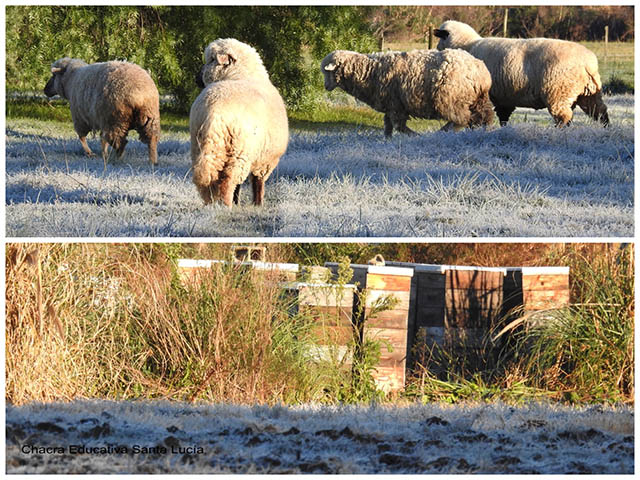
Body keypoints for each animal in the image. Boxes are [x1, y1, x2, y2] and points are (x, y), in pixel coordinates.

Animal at [189, 38, 288, 208]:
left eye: (210, 60)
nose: (196, 78)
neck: (240, 74)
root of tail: (215, 112)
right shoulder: (265, 160)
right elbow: (258, 183)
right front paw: (258, 204)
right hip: (239, 152)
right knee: (228, 181)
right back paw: (226, 205)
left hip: (202, 147)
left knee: (208, 180)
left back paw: (211, 204)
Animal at [320, 48, 496, 137]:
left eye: (327, 72)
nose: (326, 87)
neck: (368, 71)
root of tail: (480, 71)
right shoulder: (391, 105)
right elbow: (388, 125)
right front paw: (387, 139)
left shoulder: (396, 105)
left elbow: (399, 126)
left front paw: (414, 136)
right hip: (478, 99)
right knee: (484, 116)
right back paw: (483, 131)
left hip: (449, 99)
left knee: (461, 119)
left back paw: (445, 132)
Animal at [436, 20, 608, 126]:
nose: (436, 48)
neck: (467, 45)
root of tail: (588, 62)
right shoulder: (504, 97)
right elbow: (503, 117)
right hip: (588, 94)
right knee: (601, 113)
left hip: (558, 93)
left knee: (563, 118)